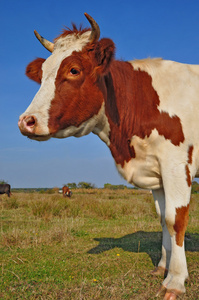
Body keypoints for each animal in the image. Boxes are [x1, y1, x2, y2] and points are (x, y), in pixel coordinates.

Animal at [17, 13, 199, 300]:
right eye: (43, 73)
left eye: (74, 70)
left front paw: (176, 280)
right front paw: (162, 267)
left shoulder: (177, 164)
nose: (26, 122)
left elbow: (175, 220)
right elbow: (161, 219)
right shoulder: (156, 170)